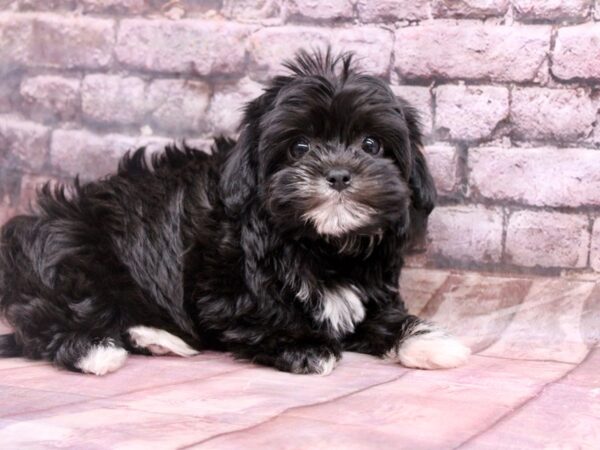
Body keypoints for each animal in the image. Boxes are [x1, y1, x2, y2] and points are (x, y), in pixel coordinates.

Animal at [0, 49, 468, 374]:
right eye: (299, 147)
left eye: (371, 145)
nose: (337, 174)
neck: (320, 244)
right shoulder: (221, 290)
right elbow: (257, 314)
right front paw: (303, 346)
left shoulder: (370, 287)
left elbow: (380, 317)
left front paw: (427, 339)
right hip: (71, 251)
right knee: (45, 319)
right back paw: (98, 349)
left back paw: (156, 337)